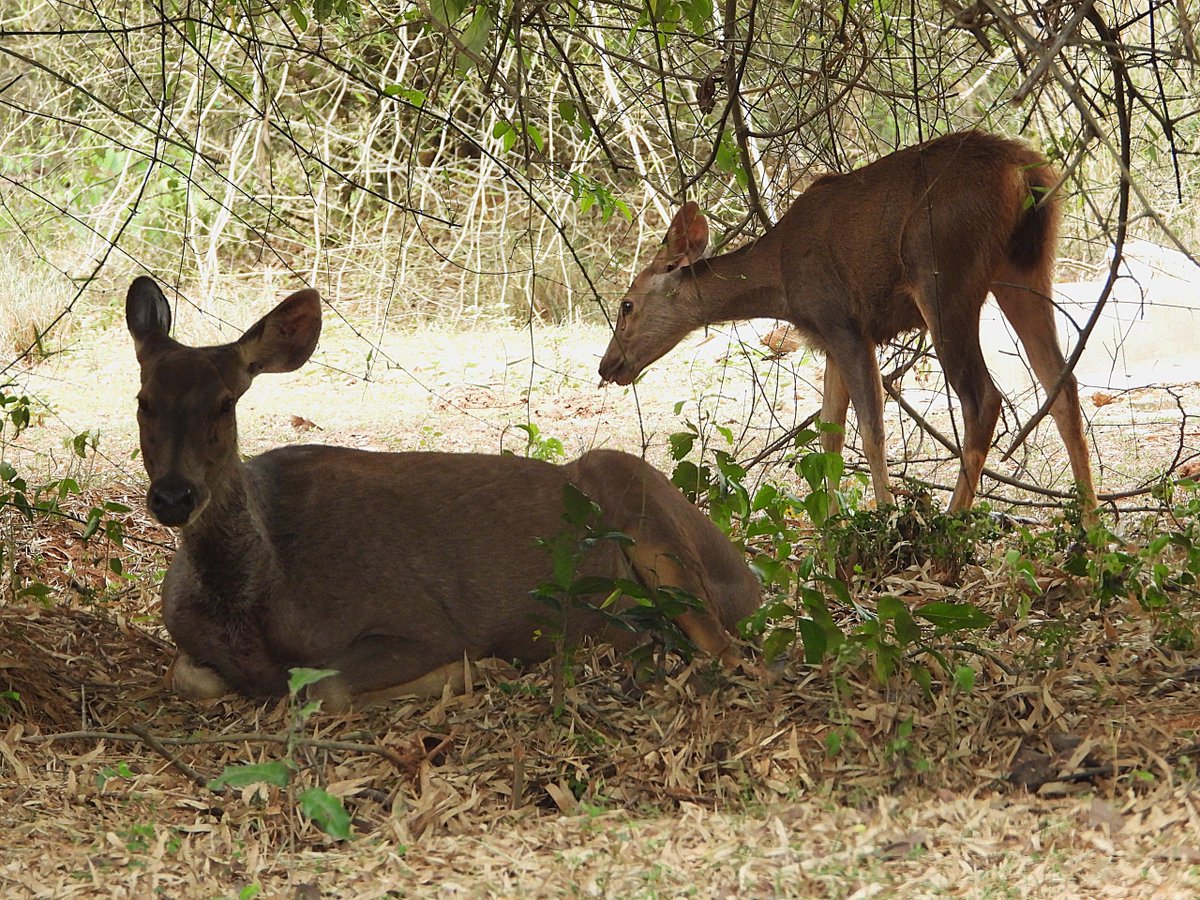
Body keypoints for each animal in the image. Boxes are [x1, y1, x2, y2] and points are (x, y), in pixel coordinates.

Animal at [126, 276, 760, 711]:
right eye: (143, 400)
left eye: (224, 403)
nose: (175, 496)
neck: (256, 603)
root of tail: (747, 577)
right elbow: (187, 676)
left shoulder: (418, 621)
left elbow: (323, 688)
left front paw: (473, 671)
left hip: (638, 497)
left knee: (731, 651)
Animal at [599, 130, 1098, 524]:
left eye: (627, 305)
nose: (608, 365)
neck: (780, 283)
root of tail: (1024, 173)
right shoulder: (828, 339)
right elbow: (829, 436)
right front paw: (832, 523)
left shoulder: (844, 322)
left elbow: (871, 429)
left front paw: (884, 517)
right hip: (1024, 269)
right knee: (1063, 384)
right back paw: (1091, 526)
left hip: (943, 274)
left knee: (984, 396)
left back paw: (953, 517)